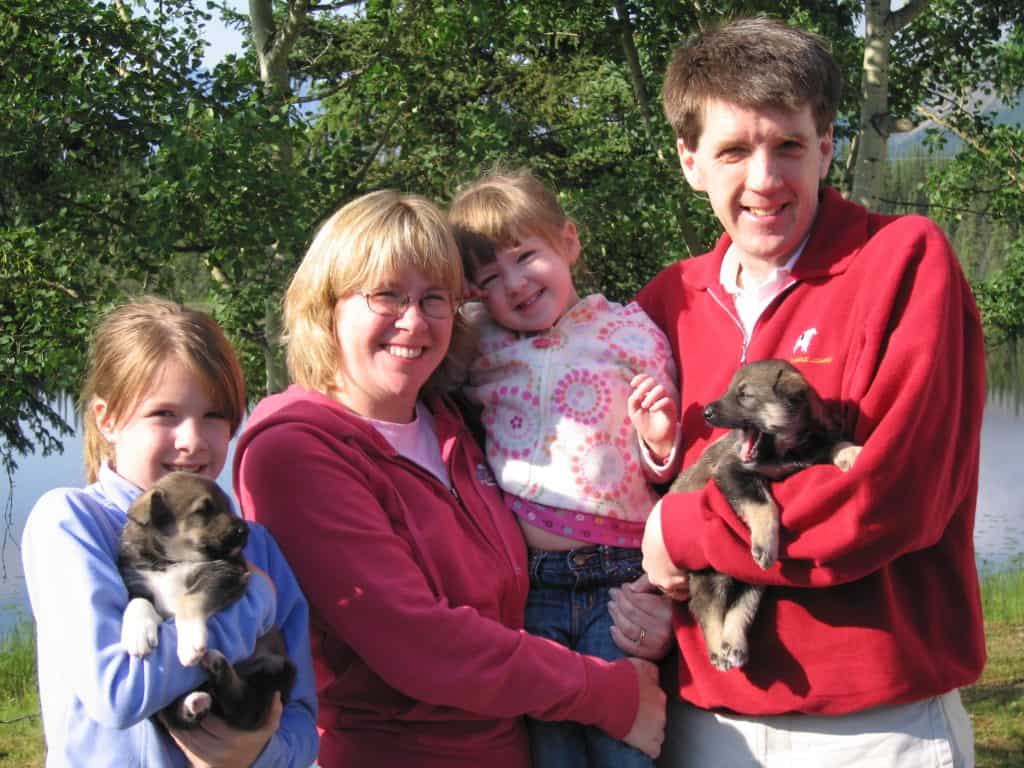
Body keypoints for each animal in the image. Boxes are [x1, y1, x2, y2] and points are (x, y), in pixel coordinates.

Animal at [120, 473, 296, 729]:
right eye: (203, 510)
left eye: (227, 506)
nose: (245, 530)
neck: (170, 560)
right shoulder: (136, 583)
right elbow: (137, 604)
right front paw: (137, 634)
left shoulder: (226, 574)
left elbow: (189, 600)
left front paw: (190, 644)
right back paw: (195, 701)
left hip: (276, 667)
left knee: (243, 708)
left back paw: (214, 665)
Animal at [667, 360, 860, 671]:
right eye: (731, 390)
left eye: (745, 395)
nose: (706, 413)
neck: (786, 449)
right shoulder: (733, 471)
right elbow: (764, 505)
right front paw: (766, 541)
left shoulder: (814, 449)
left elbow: (835, 444)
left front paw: (852, 452)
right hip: (711, 573)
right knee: (707, 608)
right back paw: (717, 650)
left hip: (753, 578)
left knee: (742, 606)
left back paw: (734, 644)